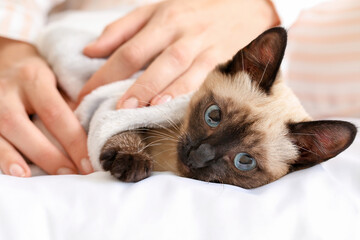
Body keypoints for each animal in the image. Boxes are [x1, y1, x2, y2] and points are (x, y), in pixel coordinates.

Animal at [97, 27, 356, 189]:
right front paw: (132, 159)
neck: (167, 164)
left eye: (244, 161)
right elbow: (125, 124)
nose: (198, 156)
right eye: (213, 116)